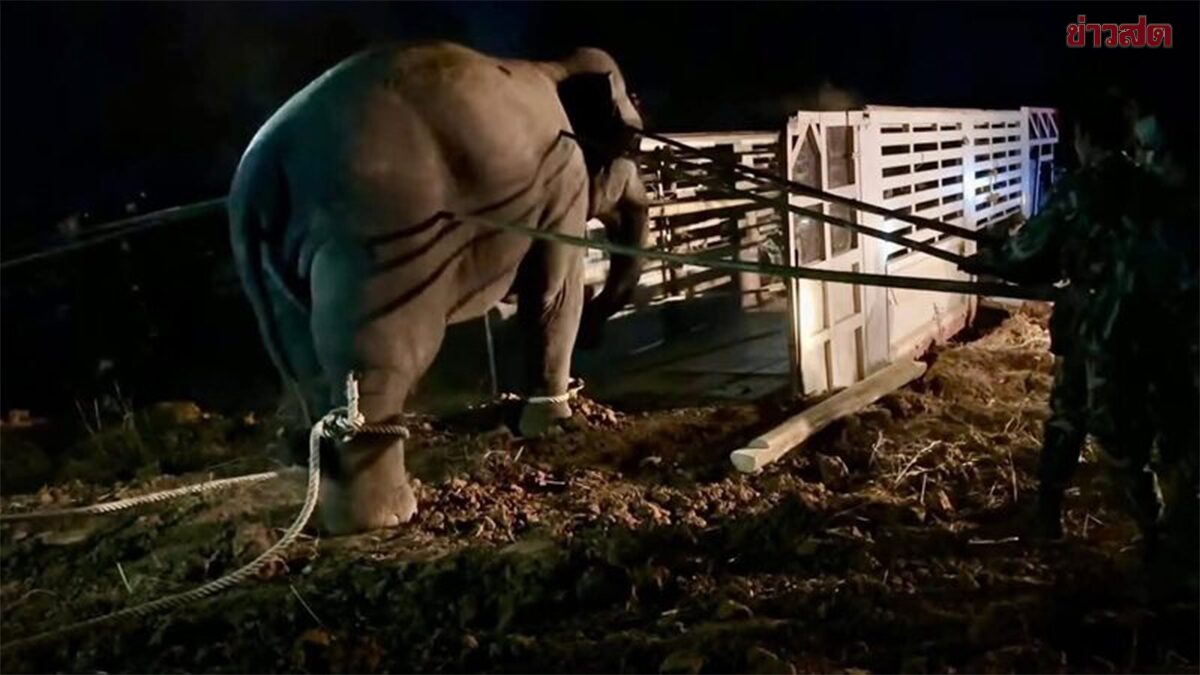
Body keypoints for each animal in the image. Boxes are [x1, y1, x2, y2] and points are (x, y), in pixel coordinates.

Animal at [228, 42, 650, 534]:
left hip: (277, 265)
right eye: (634, 144)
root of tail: (258, 174)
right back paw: (387, 517)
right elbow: (553, 295)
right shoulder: (562, 180)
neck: (557, 64)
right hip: (381, 239)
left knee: (307, 368)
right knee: (381, 358)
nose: (596, 336)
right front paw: (554, 424)